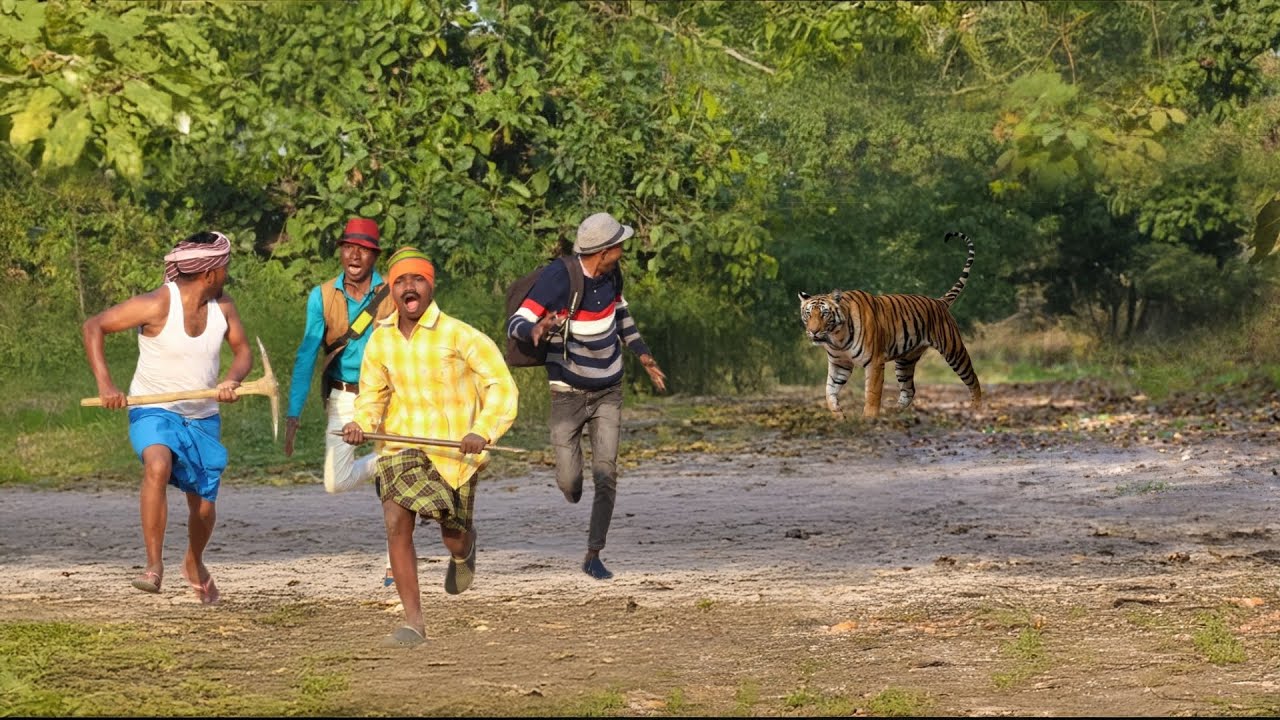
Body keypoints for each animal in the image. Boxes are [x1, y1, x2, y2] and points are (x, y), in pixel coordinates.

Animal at [798, 231, 982, 419]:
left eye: (824, 314)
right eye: (808, 314)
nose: (813, 332)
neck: (837, 338)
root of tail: (939, 301)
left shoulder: (874, 362)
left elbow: (872, 393)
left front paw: (868, 418)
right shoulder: (839, 364)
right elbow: (829, 392)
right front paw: (839, 416)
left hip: (954, 350)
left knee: (973, 378)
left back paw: (976, 410)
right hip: (906, 360)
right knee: (909, 390)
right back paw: (893, 412)